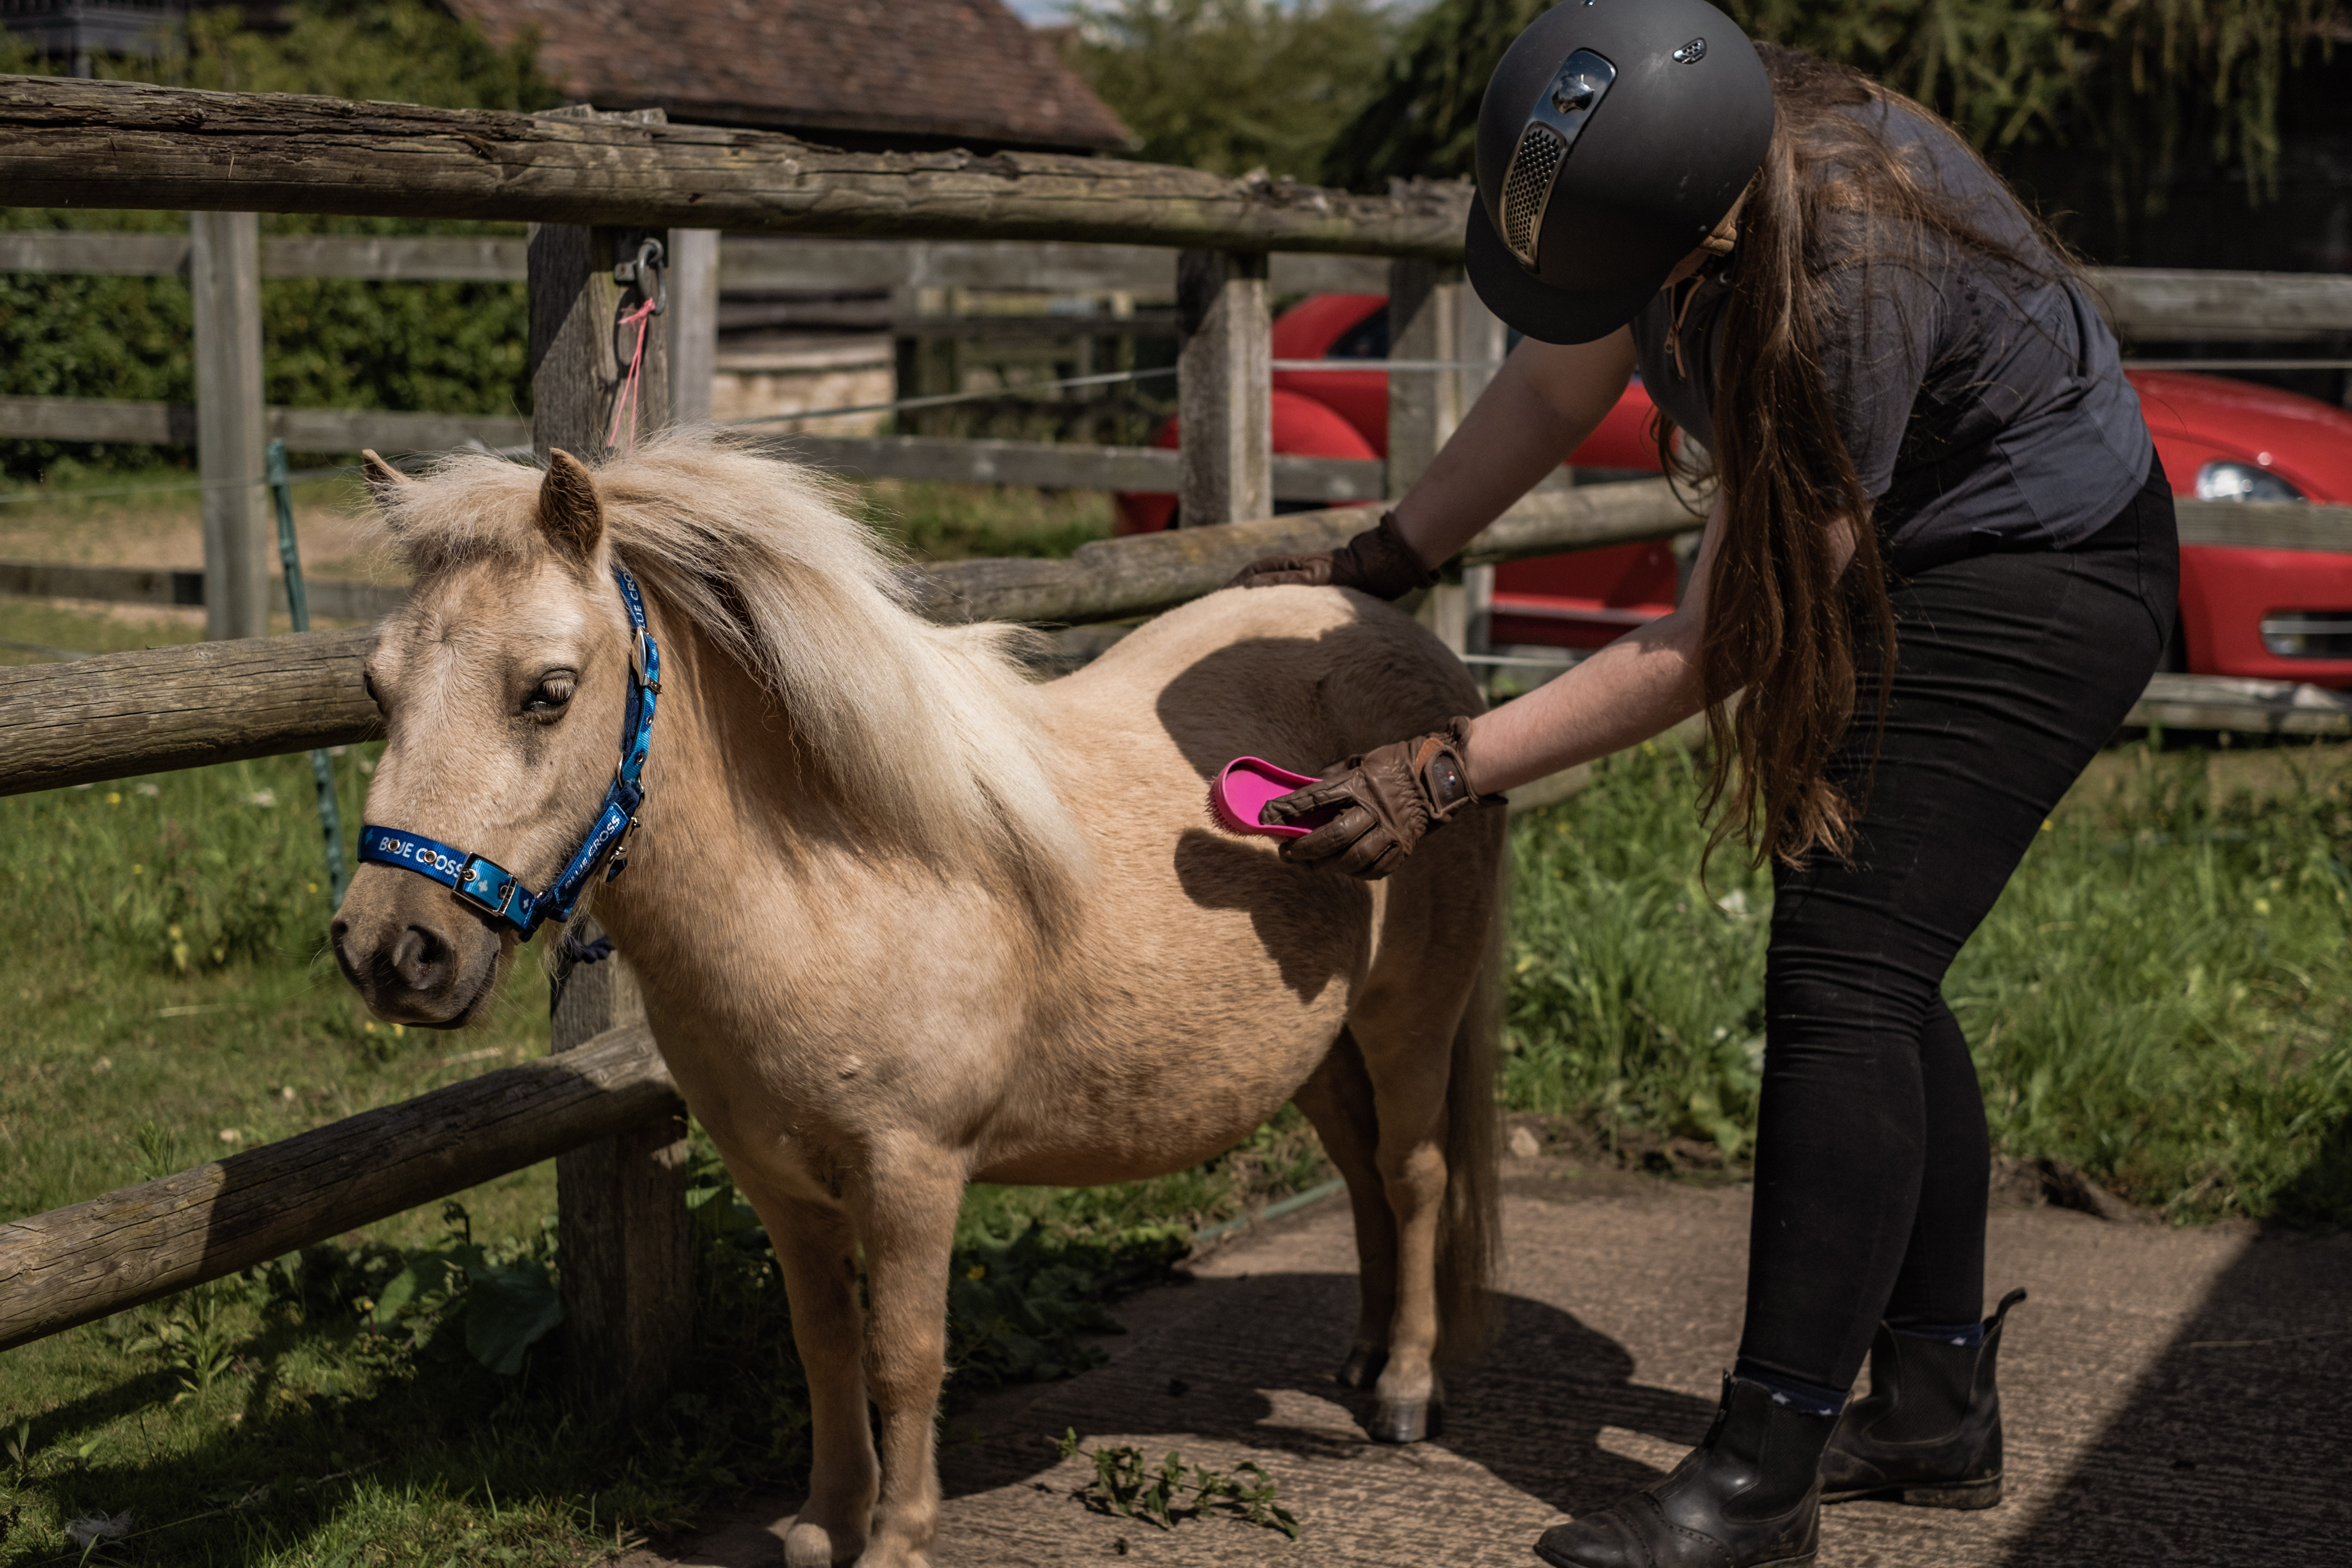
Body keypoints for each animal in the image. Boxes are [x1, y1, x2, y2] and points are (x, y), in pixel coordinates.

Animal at [330, 433, 1504, 1568]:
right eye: (379, 689)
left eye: (550, 689)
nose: (392, 951)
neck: (829, 886)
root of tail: (1418, 664)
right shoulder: (779, 1182)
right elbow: (825, 1343)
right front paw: (826, 1521)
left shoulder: (912, 1174)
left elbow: (904, 1358)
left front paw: (897, 1539)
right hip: (1315, 1047)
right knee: (1360, 1171)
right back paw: (1363, 1354)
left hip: (1409, 1017)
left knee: (1413, 1172)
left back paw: (1406, 1388)